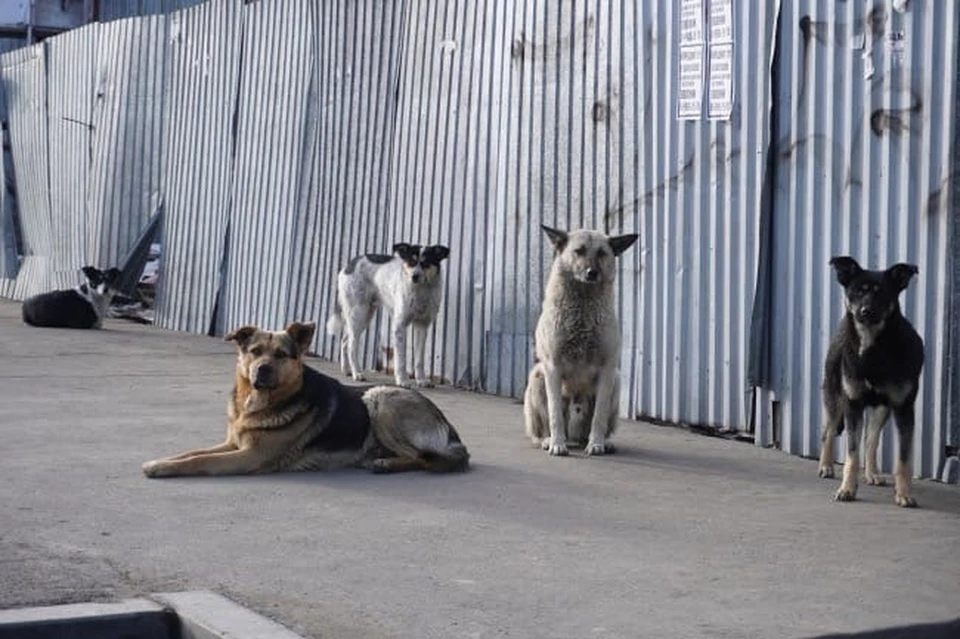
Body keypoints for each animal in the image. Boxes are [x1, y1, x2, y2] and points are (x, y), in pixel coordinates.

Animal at [142, 322, 468, 478]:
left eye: (281, 355)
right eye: (255, 351)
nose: (262, 370)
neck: (259, 404)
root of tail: (449, 428)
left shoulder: (249, 456)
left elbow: (200, 460)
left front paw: (159, 469)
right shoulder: (233, 444)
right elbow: (191, 453)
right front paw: (161, 461)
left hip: (380, 398)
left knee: (427, 458)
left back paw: (387, 463)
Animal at [326, 242, 450, 388]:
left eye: (426, 263)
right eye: (411, 262)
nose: (414, 276)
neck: (421, 290)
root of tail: (349, 265)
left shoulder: (422, 326)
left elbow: (419, 359)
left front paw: (422, 380)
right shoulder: (399, 325)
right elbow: (401, 358)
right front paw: (402, 380)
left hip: (364, 316)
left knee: (345, 340)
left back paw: (346, 370)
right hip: (358, 313)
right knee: (352, 344)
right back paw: (357, 373)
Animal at [816, 258, 924, 508]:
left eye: (881, 292)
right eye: (858, 291)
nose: (865, 311)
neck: (873, 348)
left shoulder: (904, 408)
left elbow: (903, 460)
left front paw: (904, 493)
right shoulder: (853, 403)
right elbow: (851, 454)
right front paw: (847, 489)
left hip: (882, 408)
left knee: (871, 440)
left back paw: (872, 473)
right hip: (835, 394)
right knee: (828, 430)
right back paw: (826, 466)